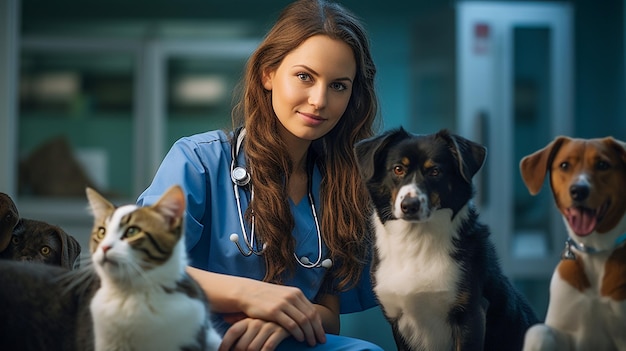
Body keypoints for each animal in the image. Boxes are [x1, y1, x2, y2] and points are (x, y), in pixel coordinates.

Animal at [354, 129, 540, 351]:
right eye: (398, 169)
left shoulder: (470, 314)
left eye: (435, 171)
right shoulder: (398, 321)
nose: (410, 205)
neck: (417, 242)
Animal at [516, 136, 624, 350]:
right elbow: (538, 330)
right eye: (564, 165)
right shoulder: (567, 331)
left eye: (602, 165)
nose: (579, 190)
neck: (595, 252)